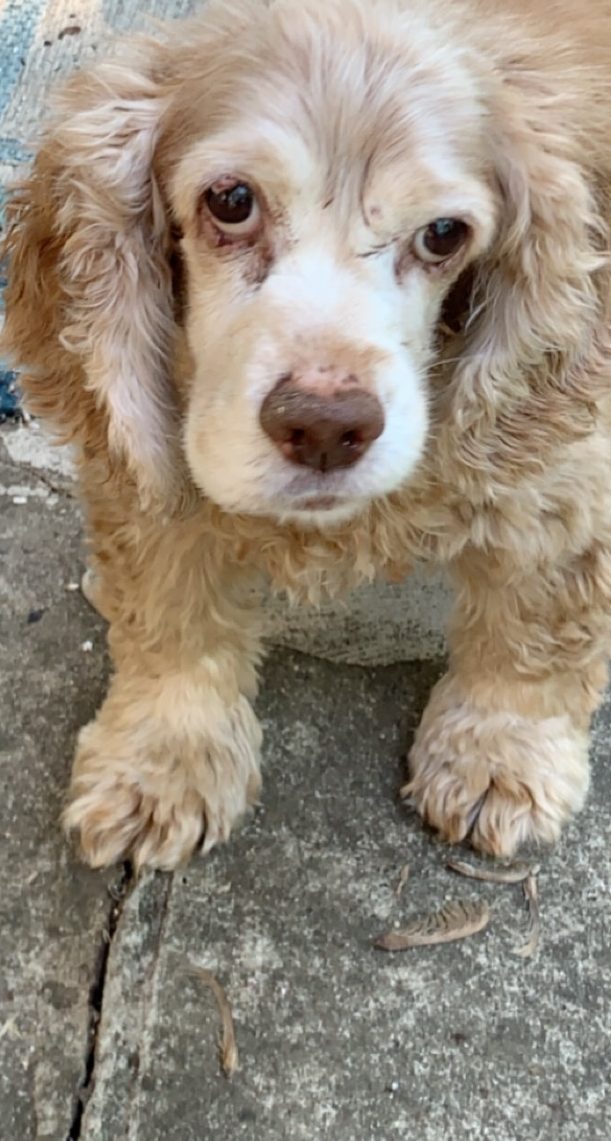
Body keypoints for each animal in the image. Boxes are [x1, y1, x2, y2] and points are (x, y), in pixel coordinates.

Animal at [4, 0, 611, 871]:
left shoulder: (560, 467)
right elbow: (166, 603)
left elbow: (537, 621)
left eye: (442, 234)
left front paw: (498, 756)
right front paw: (159, 763)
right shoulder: (148, 440)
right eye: (230, 200)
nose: (326, 427)